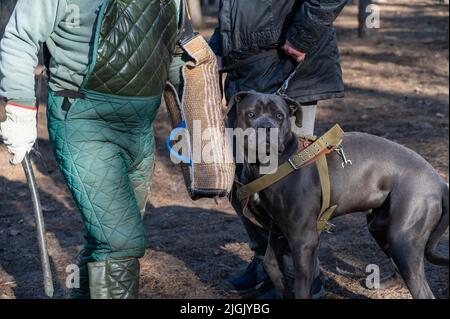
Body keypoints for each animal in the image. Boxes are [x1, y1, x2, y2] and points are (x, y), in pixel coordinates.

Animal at [229, 92, 450, 300]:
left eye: (279, 116)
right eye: (251, 114)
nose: (266, 127)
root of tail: (439, 182)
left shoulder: (303, 239)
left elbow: (301, 286)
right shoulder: (277, 229)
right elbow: (271, 265)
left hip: (403, 237)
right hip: (382, 228)